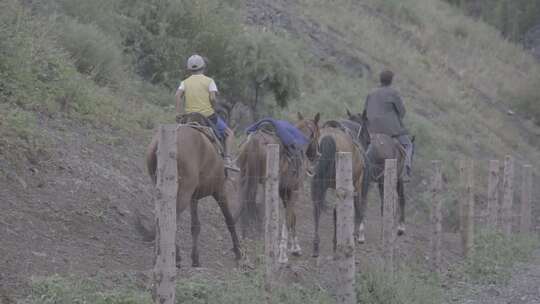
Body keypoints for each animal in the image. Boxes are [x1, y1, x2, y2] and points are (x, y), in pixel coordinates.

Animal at [147, 113, 242, 268]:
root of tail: (158, 145)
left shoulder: (194, 196)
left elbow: (195, 226)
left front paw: (195, 258)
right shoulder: (219, 190)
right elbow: (229, 219)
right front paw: (238, 252)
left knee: (160, 217)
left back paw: (161, 255)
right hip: (182, 192)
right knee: (171, 218)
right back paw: (174, 256)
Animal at [237, 112, 320, 256]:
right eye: (318, 133)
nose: (317, 155)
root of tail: (254, 141)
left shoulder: (283, 191)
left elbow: (289, 216)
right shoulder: (294, 191)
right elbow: (291, 217)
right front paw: (294, 247)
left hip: (244, 181)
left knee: (243, 206)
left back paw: (243, 236)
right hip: (266, 186)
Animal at [308, 117, 368, 258]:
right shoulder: (356, 185)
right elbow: (356, 209)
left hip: (319, 183)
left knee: (316, 209)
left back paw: (316, 246)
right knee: (337, 210)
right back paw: (336, 243)